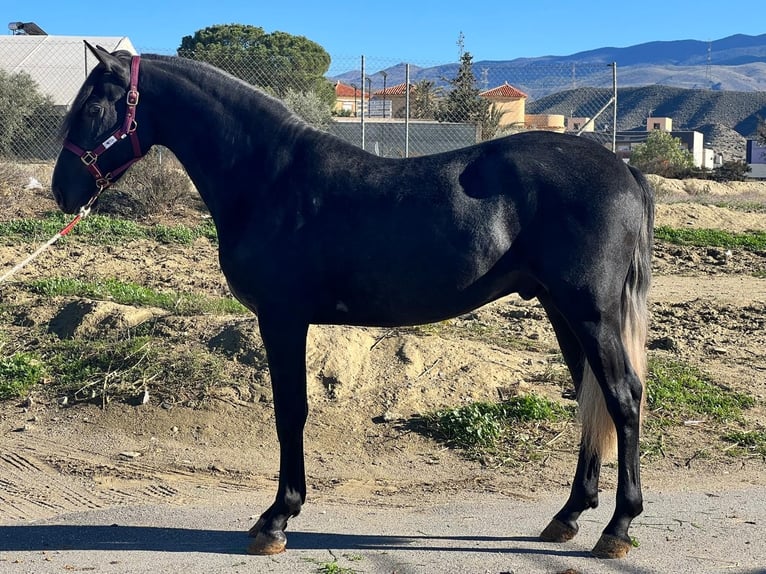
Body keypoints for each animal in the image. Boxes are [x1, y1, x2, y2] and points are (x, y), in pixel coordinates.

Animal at [51, 44, 653, 559]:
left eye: (95, 107)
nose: (62, 191)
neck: (268, 177)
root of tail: (625, 169)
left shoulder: (283, 319)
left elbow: (290, 410)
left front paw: (276, 519)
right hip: (561, 310)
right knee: (591, 399)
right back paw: (568, 516)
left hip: (591, 313)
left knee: (622, 398)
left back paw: (618, 528)